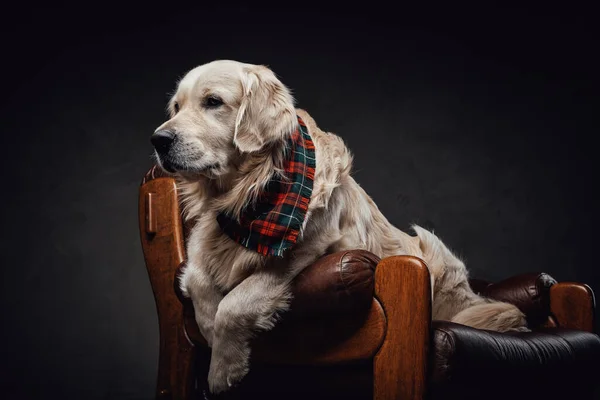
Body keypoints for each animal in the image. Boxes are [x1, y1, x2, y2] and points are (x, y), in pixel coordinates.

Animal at [152, 59, 528, 394]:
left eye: (213, 102)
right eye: (176, 107)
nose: (159, 139)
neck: (248, 196)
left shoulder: (308, 248)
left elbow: (237, 301)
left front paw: (222, 368)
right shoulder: (203, 241)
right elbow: (197, 279)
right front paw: (208, 329)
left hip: (434, 252)